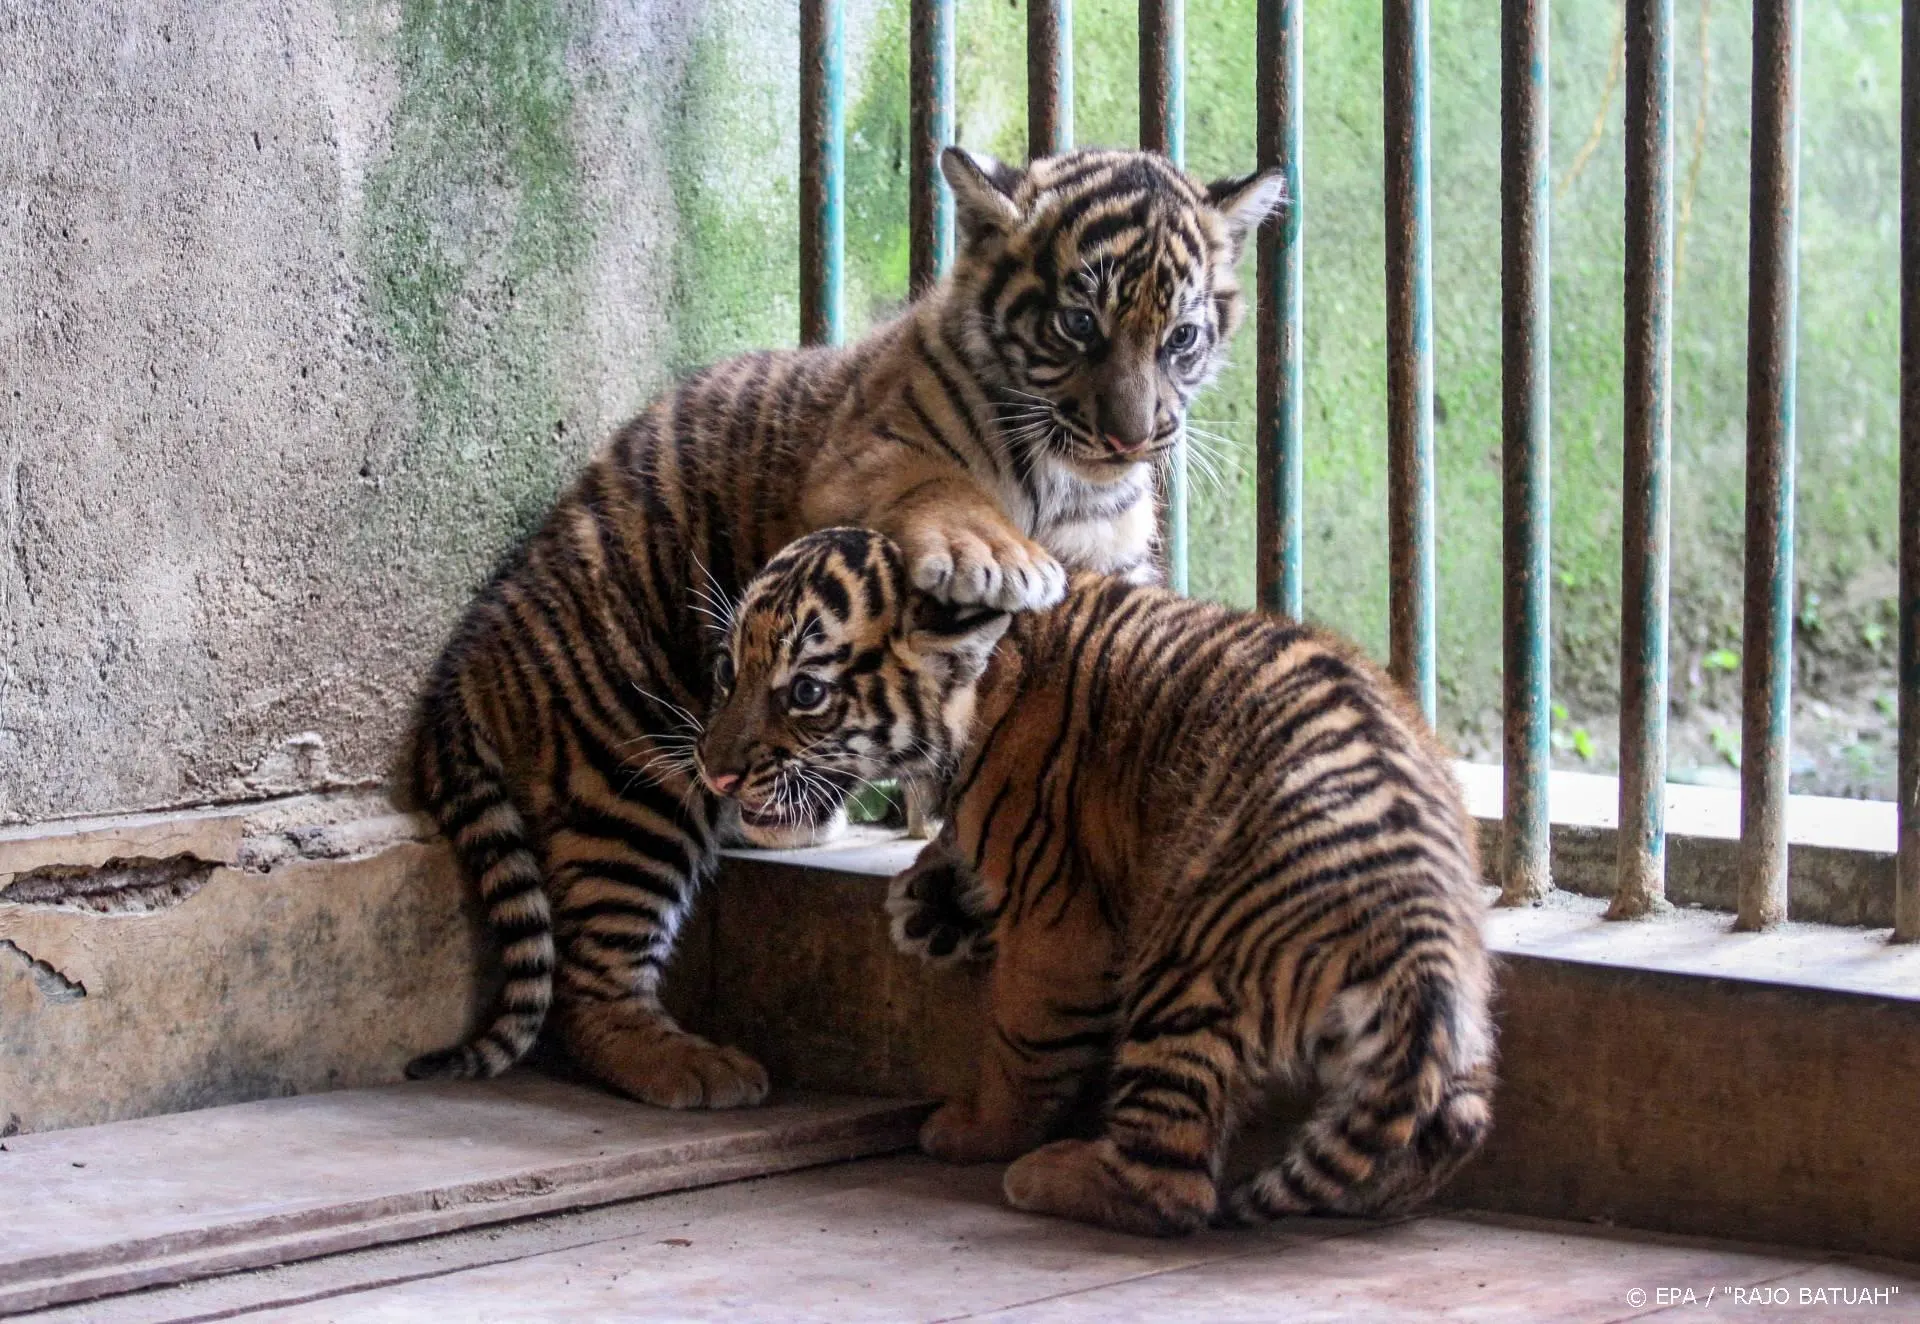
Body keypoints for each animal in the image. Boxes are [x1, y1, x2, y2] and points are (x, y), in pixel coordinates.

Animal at [405, 148, 1287, 1111]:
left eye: (1182, 339)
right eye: (1077, 322)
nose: (1135, 440)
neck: (1067, 484)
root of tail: (471, 645)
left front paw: (947, 892)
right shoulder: (863, 459)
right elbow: (939, 485)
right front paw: (990, 552)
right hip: (630, 771)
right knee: (590, 986)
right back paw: (691, 1065)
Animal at [696, 527, 1495, 1235]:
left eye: (805, 691)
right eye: (726, 671)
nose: (714, 771)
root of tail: (1419, 948)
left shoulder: (1061, 923)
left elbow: (1023, 1044)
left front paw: (979, 1129)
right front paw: (930, 901)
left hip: (1182, 972)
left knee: (1173, 1187)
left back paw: (1047, 1174)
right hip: (1458, 1032)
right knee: (1450, 1124)